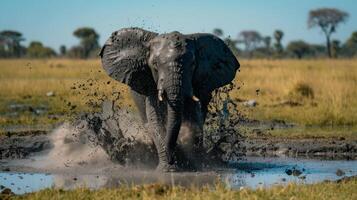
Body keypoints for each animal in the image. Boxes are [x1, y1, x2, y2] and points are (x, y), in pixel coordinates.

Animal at [100, 27, 239, 172]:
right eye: (154, 64)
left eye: (193, 64)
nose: (172, 159)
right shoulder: (151, 84)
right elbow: (156, 121)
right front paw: (168, 169)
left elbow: (193, 118)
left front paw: (193, 165)